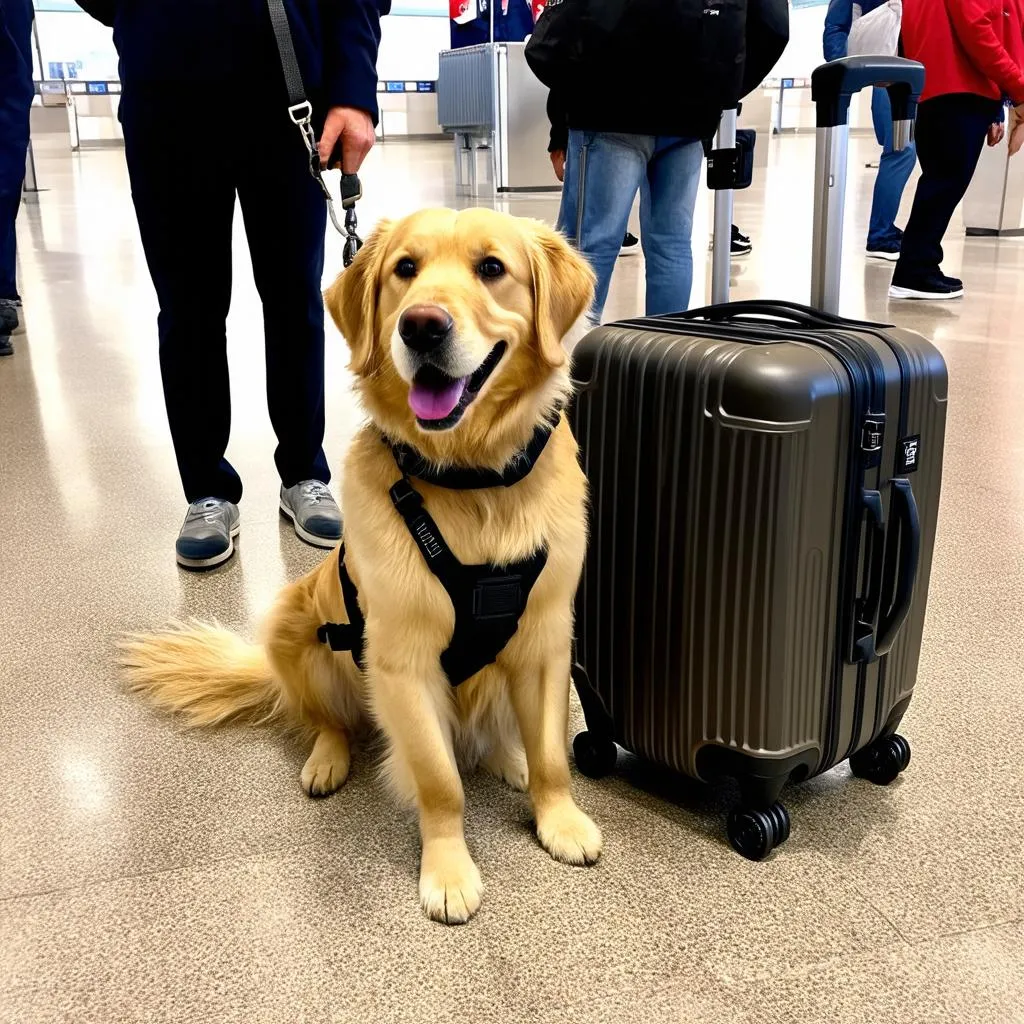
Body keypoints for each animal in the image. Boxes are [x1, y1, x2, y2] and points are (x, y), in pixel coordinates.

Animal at [119, 203, 598, 925]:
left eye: (492, 268)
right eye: (406, 268)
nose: (421, 325)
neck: (471, 478)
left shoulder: (545, 640)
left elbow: (550, 755)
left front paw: (558, 819)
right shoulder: (402, 660)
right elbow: (439, 780)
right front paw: (448, 872)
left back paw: (505, 756)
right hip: (295, 627)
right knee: (330, 721)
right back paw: (326, 761)